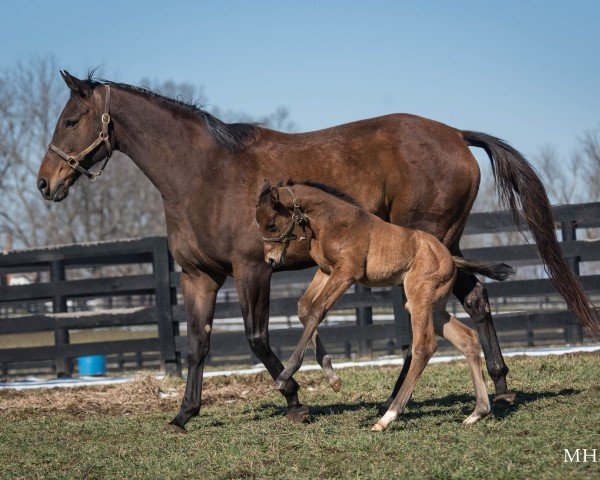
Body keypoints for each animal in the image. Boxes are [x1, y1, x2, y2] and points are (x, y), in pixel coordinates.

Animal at [255, 182, 512, 430]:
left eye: (271, 225)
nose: (271, 260)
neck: (331, 222)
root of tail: (449, 257)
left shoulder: (346, 273)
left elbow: (317, 311)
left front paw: (285, 375)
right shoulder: (326, 271)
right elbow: (304, 308)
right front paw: (333, 378)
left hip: (419, 301)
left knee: (424, 347)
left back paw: (388, 417)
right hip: (435, 308)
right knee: (466, 338)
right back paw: (477, 412)